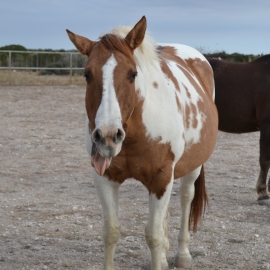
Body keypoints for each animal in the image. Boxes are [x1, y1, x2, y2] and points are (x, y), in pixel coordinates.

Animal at [66, 16, 218, 270]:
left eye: (132, 74)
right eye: (87, 74)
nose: (108, 136)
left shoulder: (161, 177)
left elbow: (153, 236)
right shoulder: (104, 178)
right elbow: (111, 231)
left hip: (193, 167)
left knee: (186, 197)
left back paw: (182, 254)